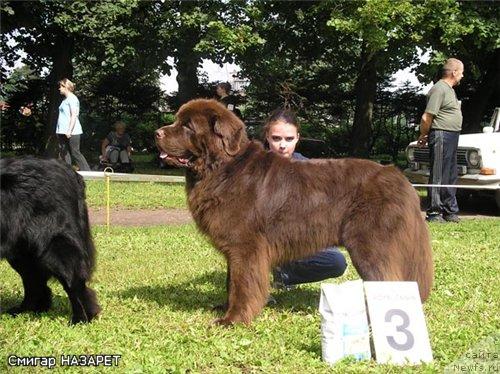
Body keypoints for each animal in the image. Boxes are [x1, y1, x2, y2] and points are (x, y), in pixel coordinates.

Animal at [0, 156, 100, 322]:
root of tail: (72, 173)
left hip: (53, 243)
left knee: (73, 280)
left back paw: (81, 318)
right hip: (23, 250)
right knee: (34, 281)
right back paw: (26, 310)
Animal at [156, 98, 434, 324]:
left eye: (188, 126)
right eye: (177, 120)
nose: (157, 133)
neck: (222, 169)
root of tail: (397, 176)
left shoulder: (246, 247)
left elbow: (242, 285)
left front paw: (233, 320)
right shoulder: (235, 250)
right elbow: (231, 282)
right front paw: (224, 309)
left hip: (372, 246)